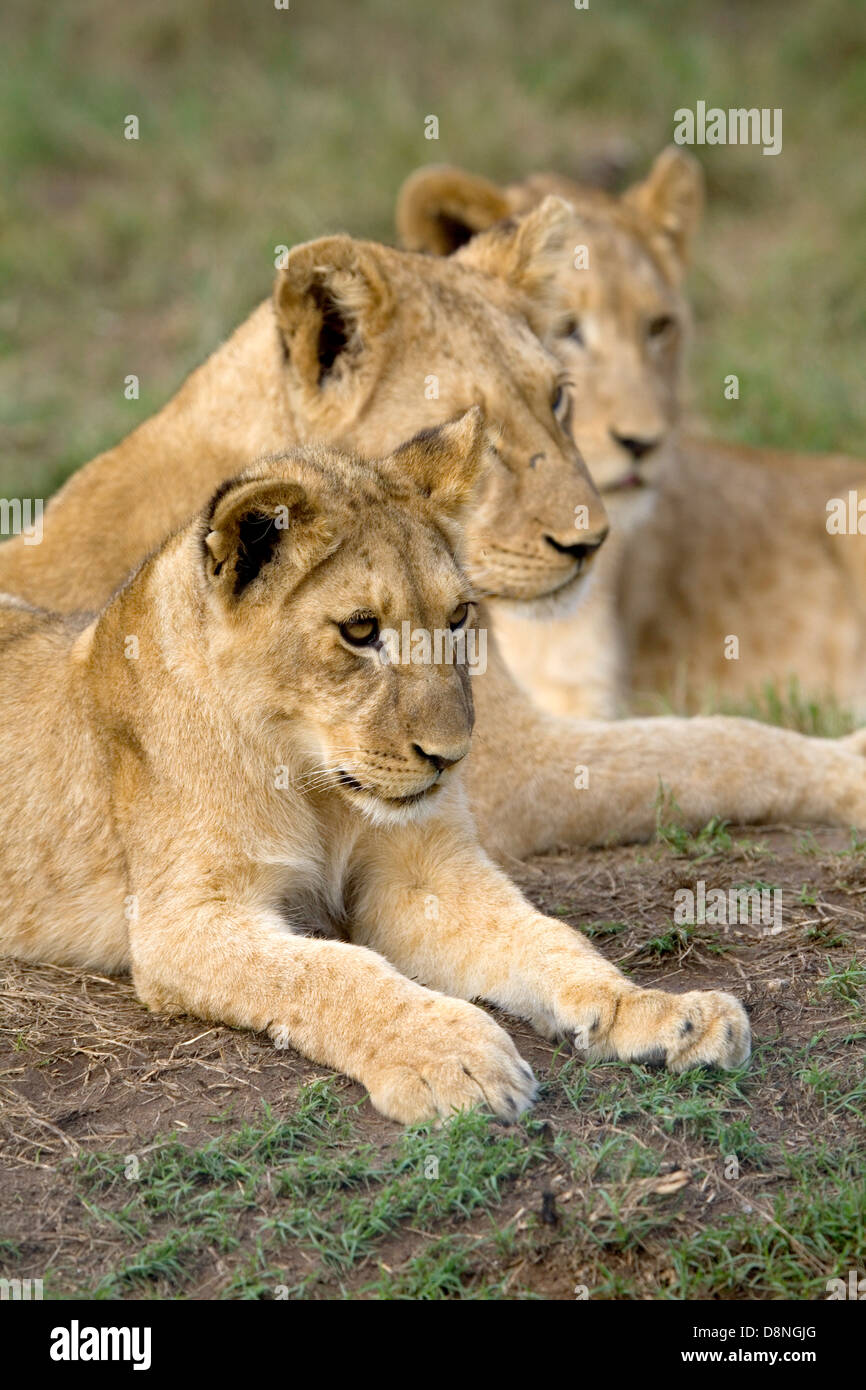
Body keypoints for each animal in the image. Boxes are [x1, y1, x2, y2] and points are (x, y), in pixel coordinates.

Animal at [0, 411, 750, 1117]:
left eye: (458, 616)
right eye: (360, 631)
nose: (451, 758)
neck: (313, 785)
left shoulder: (425, 874)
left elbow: (547, 938)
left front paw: (659, 1012)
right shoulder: (181, 920)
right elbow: (332, 970)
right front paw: (450, 1053)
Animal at [1, 209, 866, 861]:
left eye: (558, 398)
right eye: (461, 426)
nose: (590, 542)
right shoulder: (504, 769)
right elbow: (721, 745)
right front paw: (851, 768)